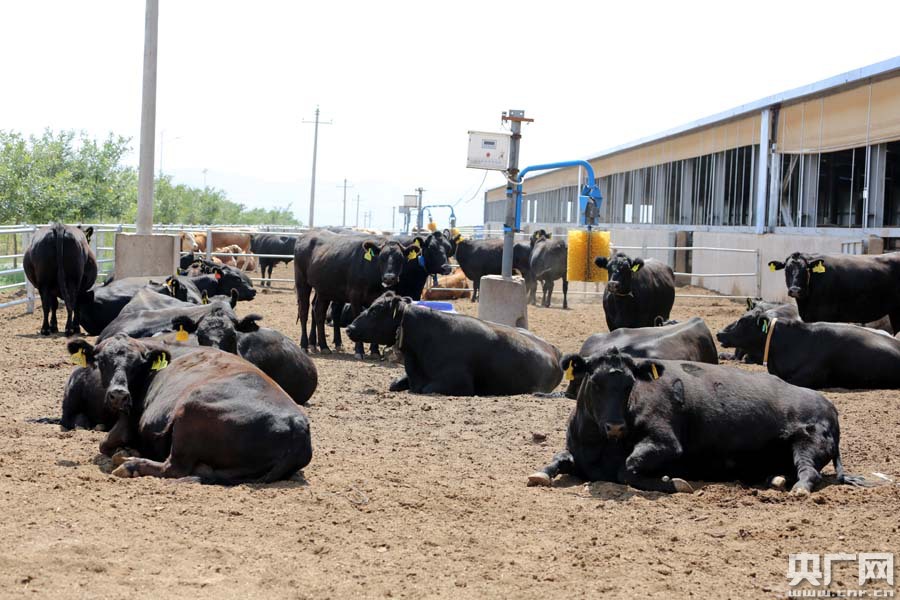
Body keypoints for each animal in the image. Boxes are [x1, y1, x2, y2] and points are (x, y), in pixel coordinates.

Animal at [66, 335, 312, 484]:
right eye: (101, 360)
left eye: (137, 364)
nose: (118, 394)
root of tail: (297, 425)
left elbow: (105, 444)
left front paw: (126, 451)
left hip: (189, 411)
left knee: (174, 468)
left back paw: (130, 464)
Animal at [346, 292, 563, 395]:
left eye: (375, 309)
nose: (349, 328)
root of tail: (554, 350)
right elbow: (394, 383)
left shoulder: (458, 383)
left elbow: (427, 388)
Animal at [527, 349, 866, 495]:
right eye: (595, 382)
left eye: (629, 385)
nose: (615, 426)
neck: (596, 445)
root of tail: (829, 406)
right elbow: (558, 458)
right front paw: (541, 473)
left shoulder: (665, 442)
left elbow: (628, 468)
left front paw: (672, 481)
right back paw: (777, 479)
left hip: (809, 442)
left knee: (810, 473)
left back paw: (797, 489)